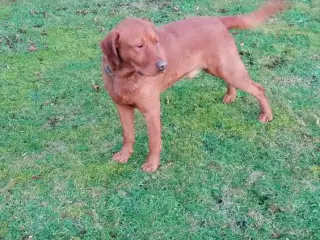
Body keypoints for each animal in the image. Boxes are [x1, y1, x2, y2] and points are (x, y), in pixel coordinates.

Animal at [100, 0, 288, 172]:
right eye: (139, 46)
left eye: (156, 42)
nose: (163, 66)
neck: (124, 76)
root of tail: (217, 20)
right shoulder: (122, 107)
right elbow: (128, 135)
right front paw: (125, 155)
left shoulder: (151, 111)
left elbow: (154, 142)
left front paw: (152, 164)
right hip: (220, 68)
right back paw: (230, 95)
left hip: (231, 71)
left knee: (259, 89)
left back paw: (266, 114)